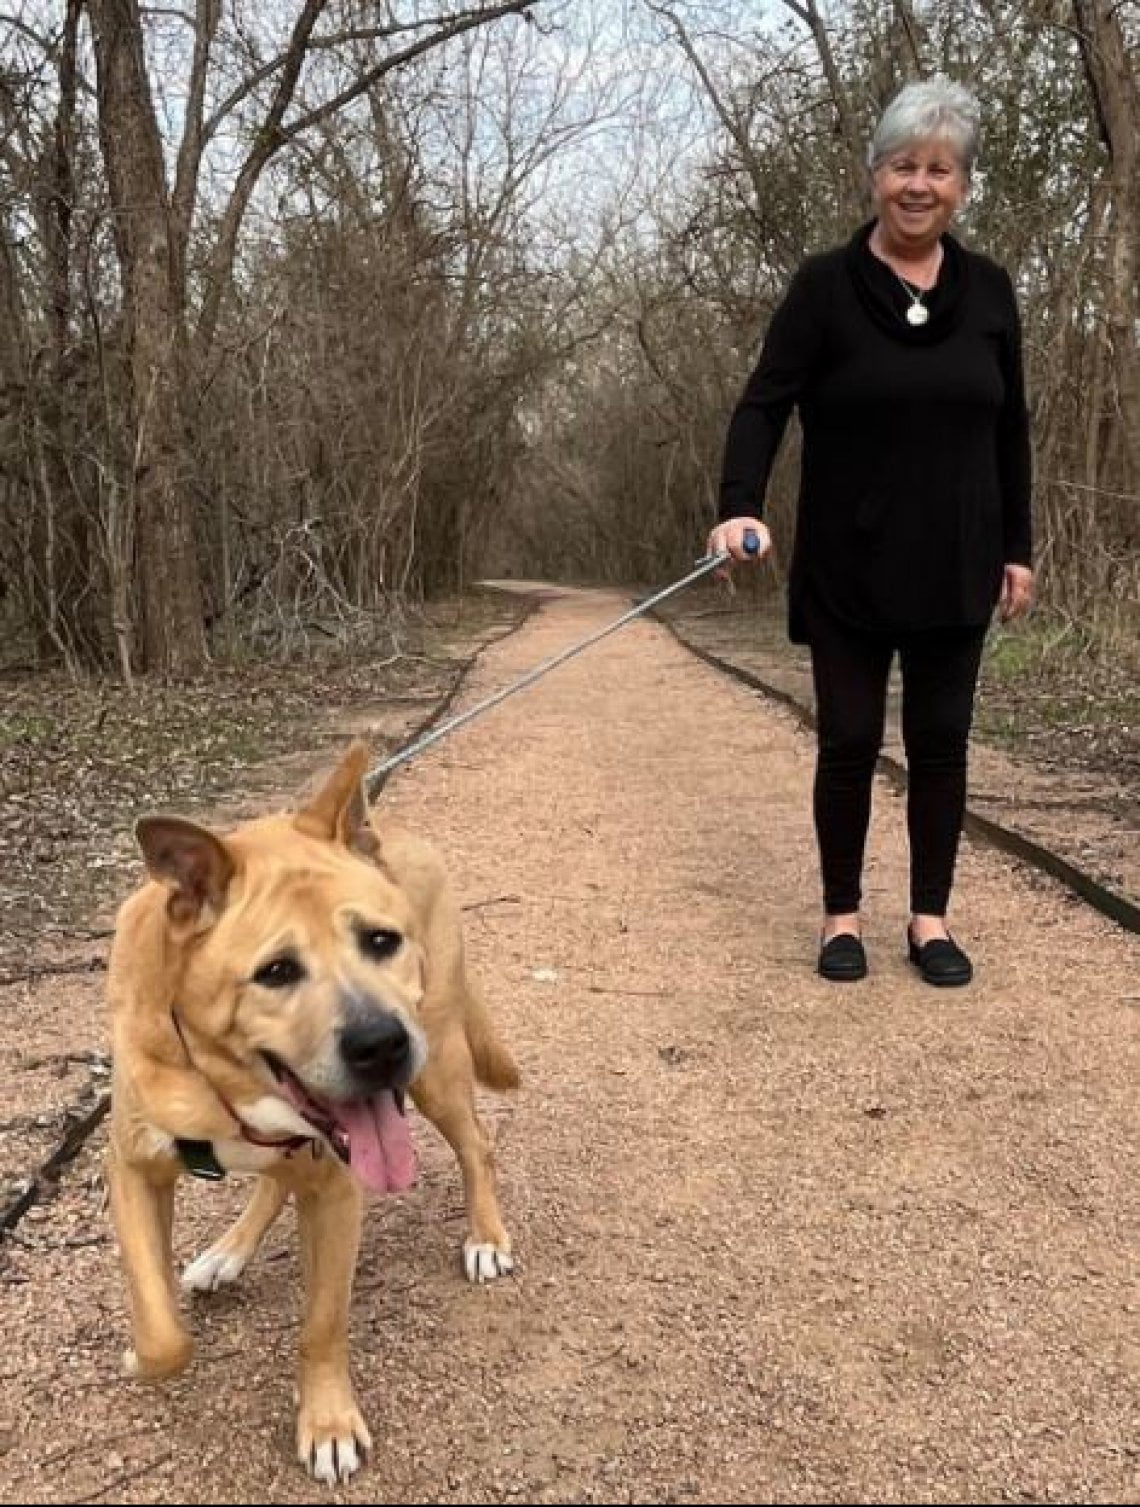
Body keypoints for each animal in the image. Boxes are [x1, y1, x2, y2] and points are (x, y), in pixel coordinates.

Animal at [107, 741, 515, 1482]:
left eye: (381, 941)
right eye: (276, 971)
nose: (381, 1044)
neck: (222, 1080)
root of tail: (387, 834)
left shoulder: (336, 1189)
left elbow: (322, 1324)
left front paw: (327, 1423)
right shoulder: (132, 1168)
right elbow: (162, 1333)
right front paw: (142, 1349)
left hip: (438, 1068)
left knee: (477, 1145)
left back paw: (486, 1235)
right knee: (274, 1179)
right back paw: (226, 1252)